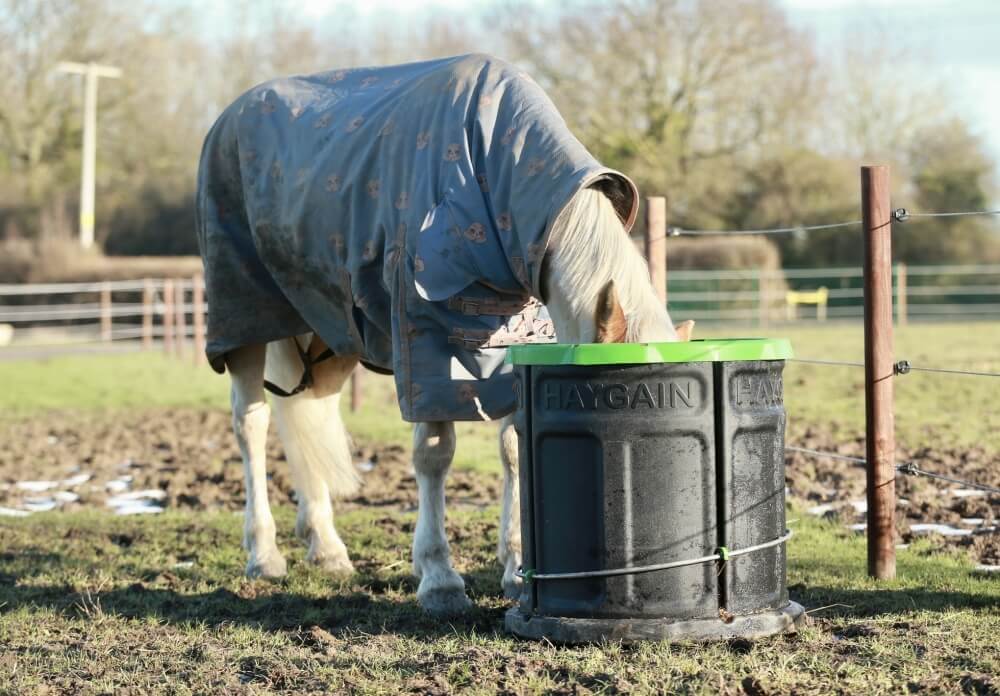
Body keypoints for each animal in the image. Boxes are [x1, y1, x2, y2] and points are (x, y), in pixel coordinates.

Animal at [198, 53, 692, 616]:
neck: (488, 174)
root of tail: (228, 118)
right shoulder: (425, 346)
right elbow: (433, 455)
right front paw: (438, 578)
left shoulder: (520, 347)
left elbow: (515, 449)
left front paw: (516, 569)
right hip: (243, 319)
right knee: (252, 424)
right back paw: (264, 553)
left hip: (329, 332)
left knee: (309, 412)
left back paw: (326, 547)